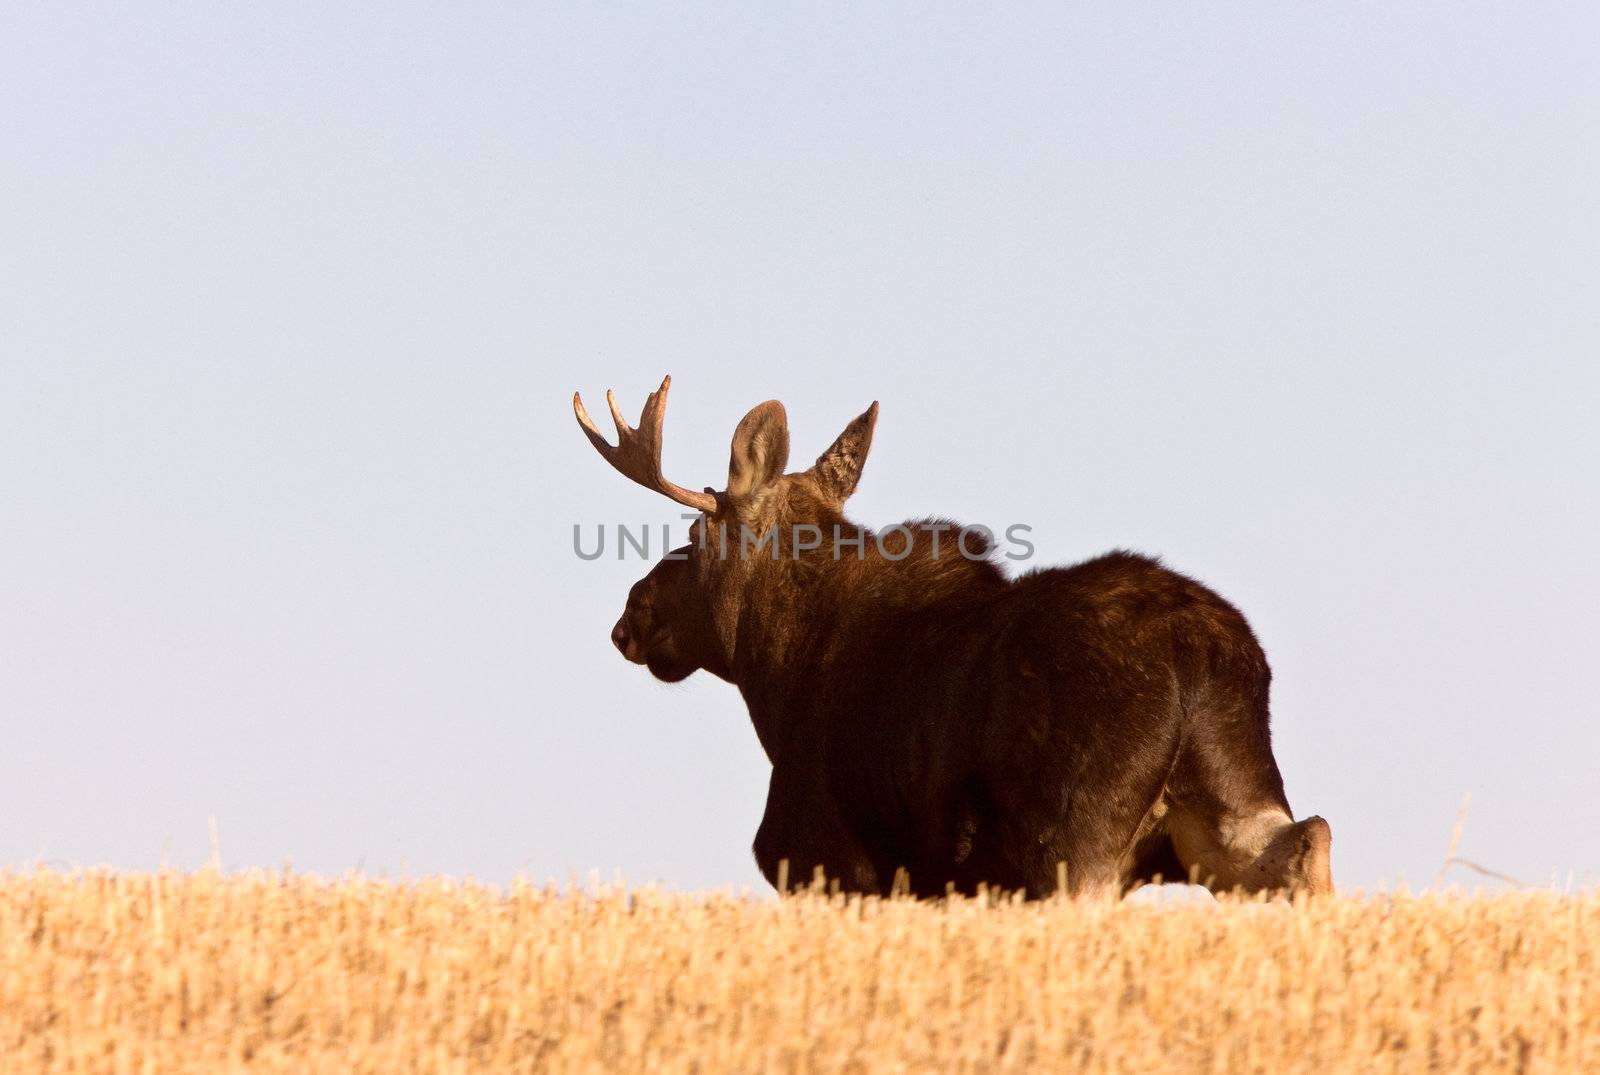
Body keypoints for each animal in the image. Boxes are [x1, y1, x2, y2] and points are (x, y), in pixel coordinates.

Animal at [569, 377, 1331, 895]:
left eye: (696, 537)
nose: (632, 616)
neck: (777, 676)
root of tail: (1194, 654)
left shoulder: (822, 856)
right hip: (1230, 800)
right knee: (1307, 839)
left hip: (1072, 835)